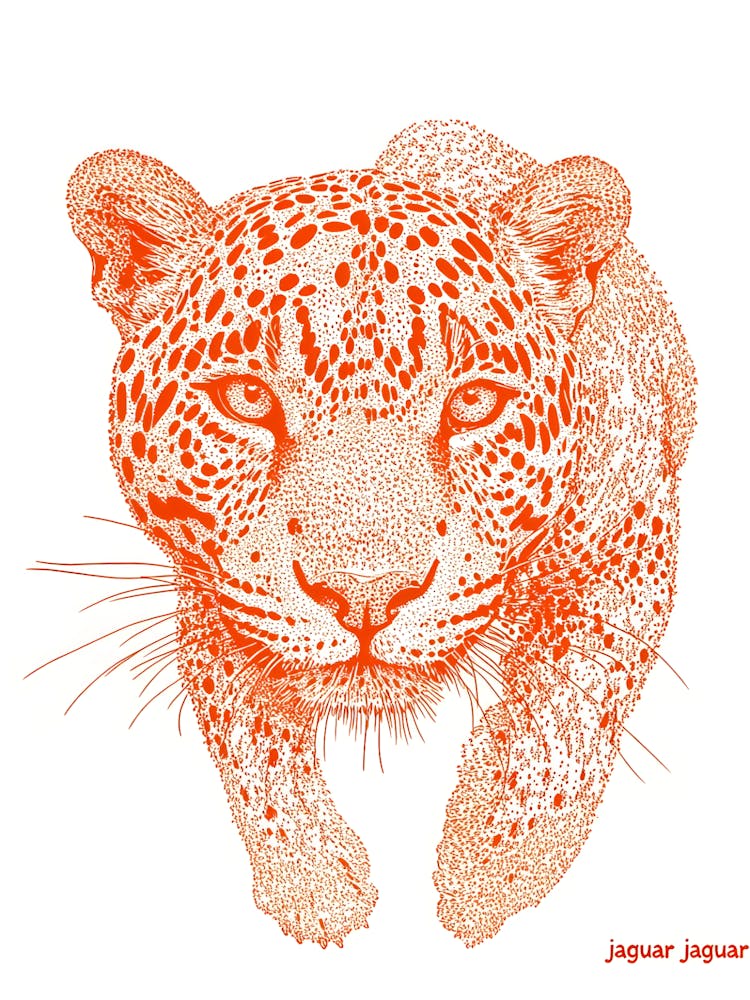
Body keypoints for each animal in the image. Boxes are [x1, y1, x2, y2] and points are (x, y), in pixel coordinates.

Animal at [65, 120, 696, 947]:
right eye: (246, 399)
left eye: (474, 404)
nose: (366, 595)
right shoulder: (214, 588)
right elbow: (246, 730)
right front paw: (313, 878)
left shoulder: (633, 529)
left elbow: (579, 695)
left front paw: (494, 863)